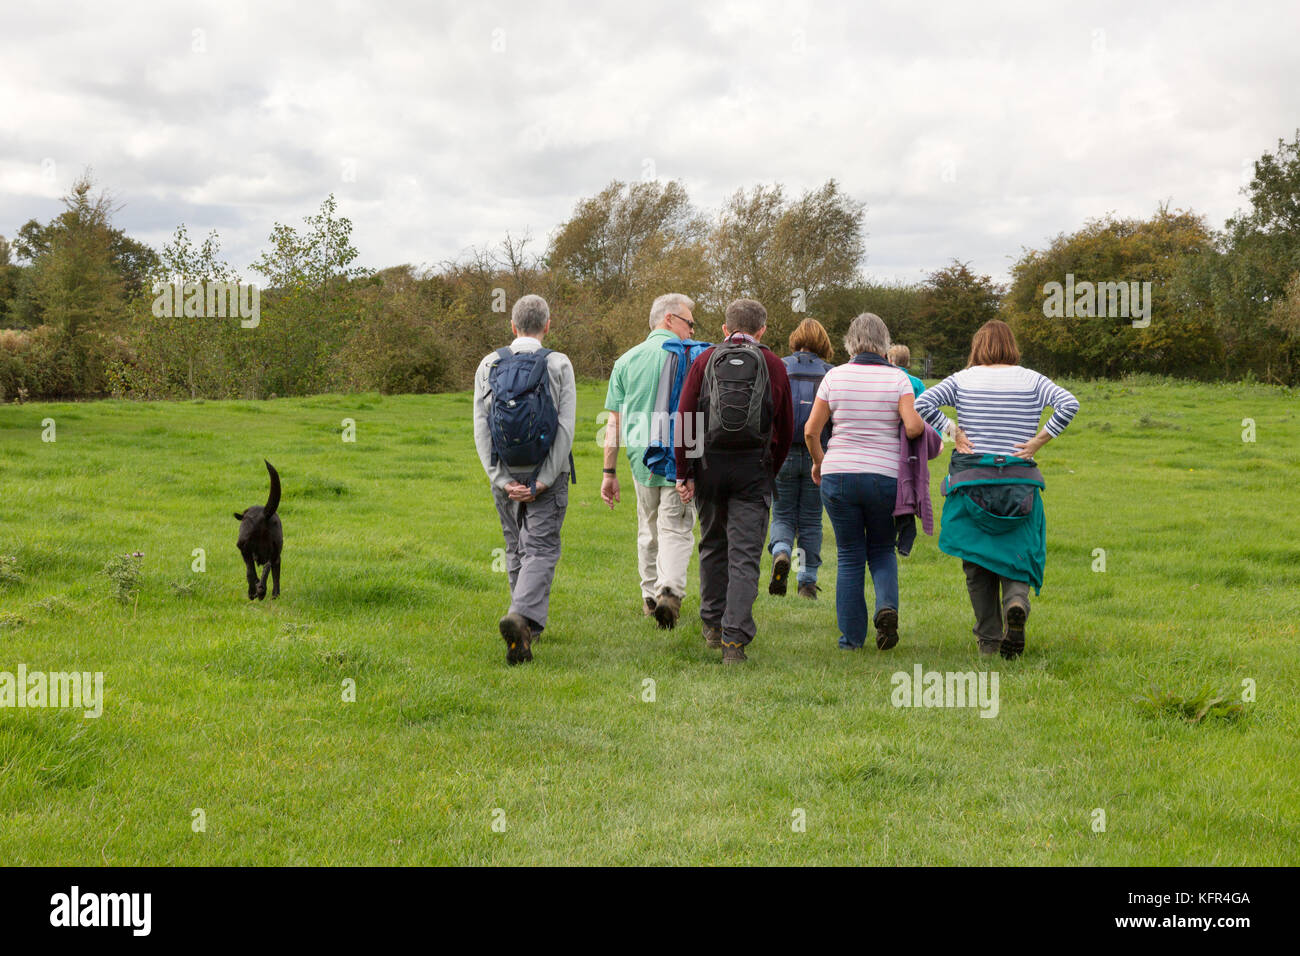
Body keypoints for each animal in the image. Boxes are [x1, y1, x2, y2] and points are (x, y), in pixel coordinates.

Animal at [235, 460, 283, 600]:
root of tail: (263, 515)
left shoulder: (246, 551)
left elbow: (250, 571)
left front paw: (254, 590)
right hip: (275, 552)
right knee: (268, 567)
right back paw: (263, 591)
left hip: (244, 546)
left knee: (255, 569)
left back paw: (256, 591)